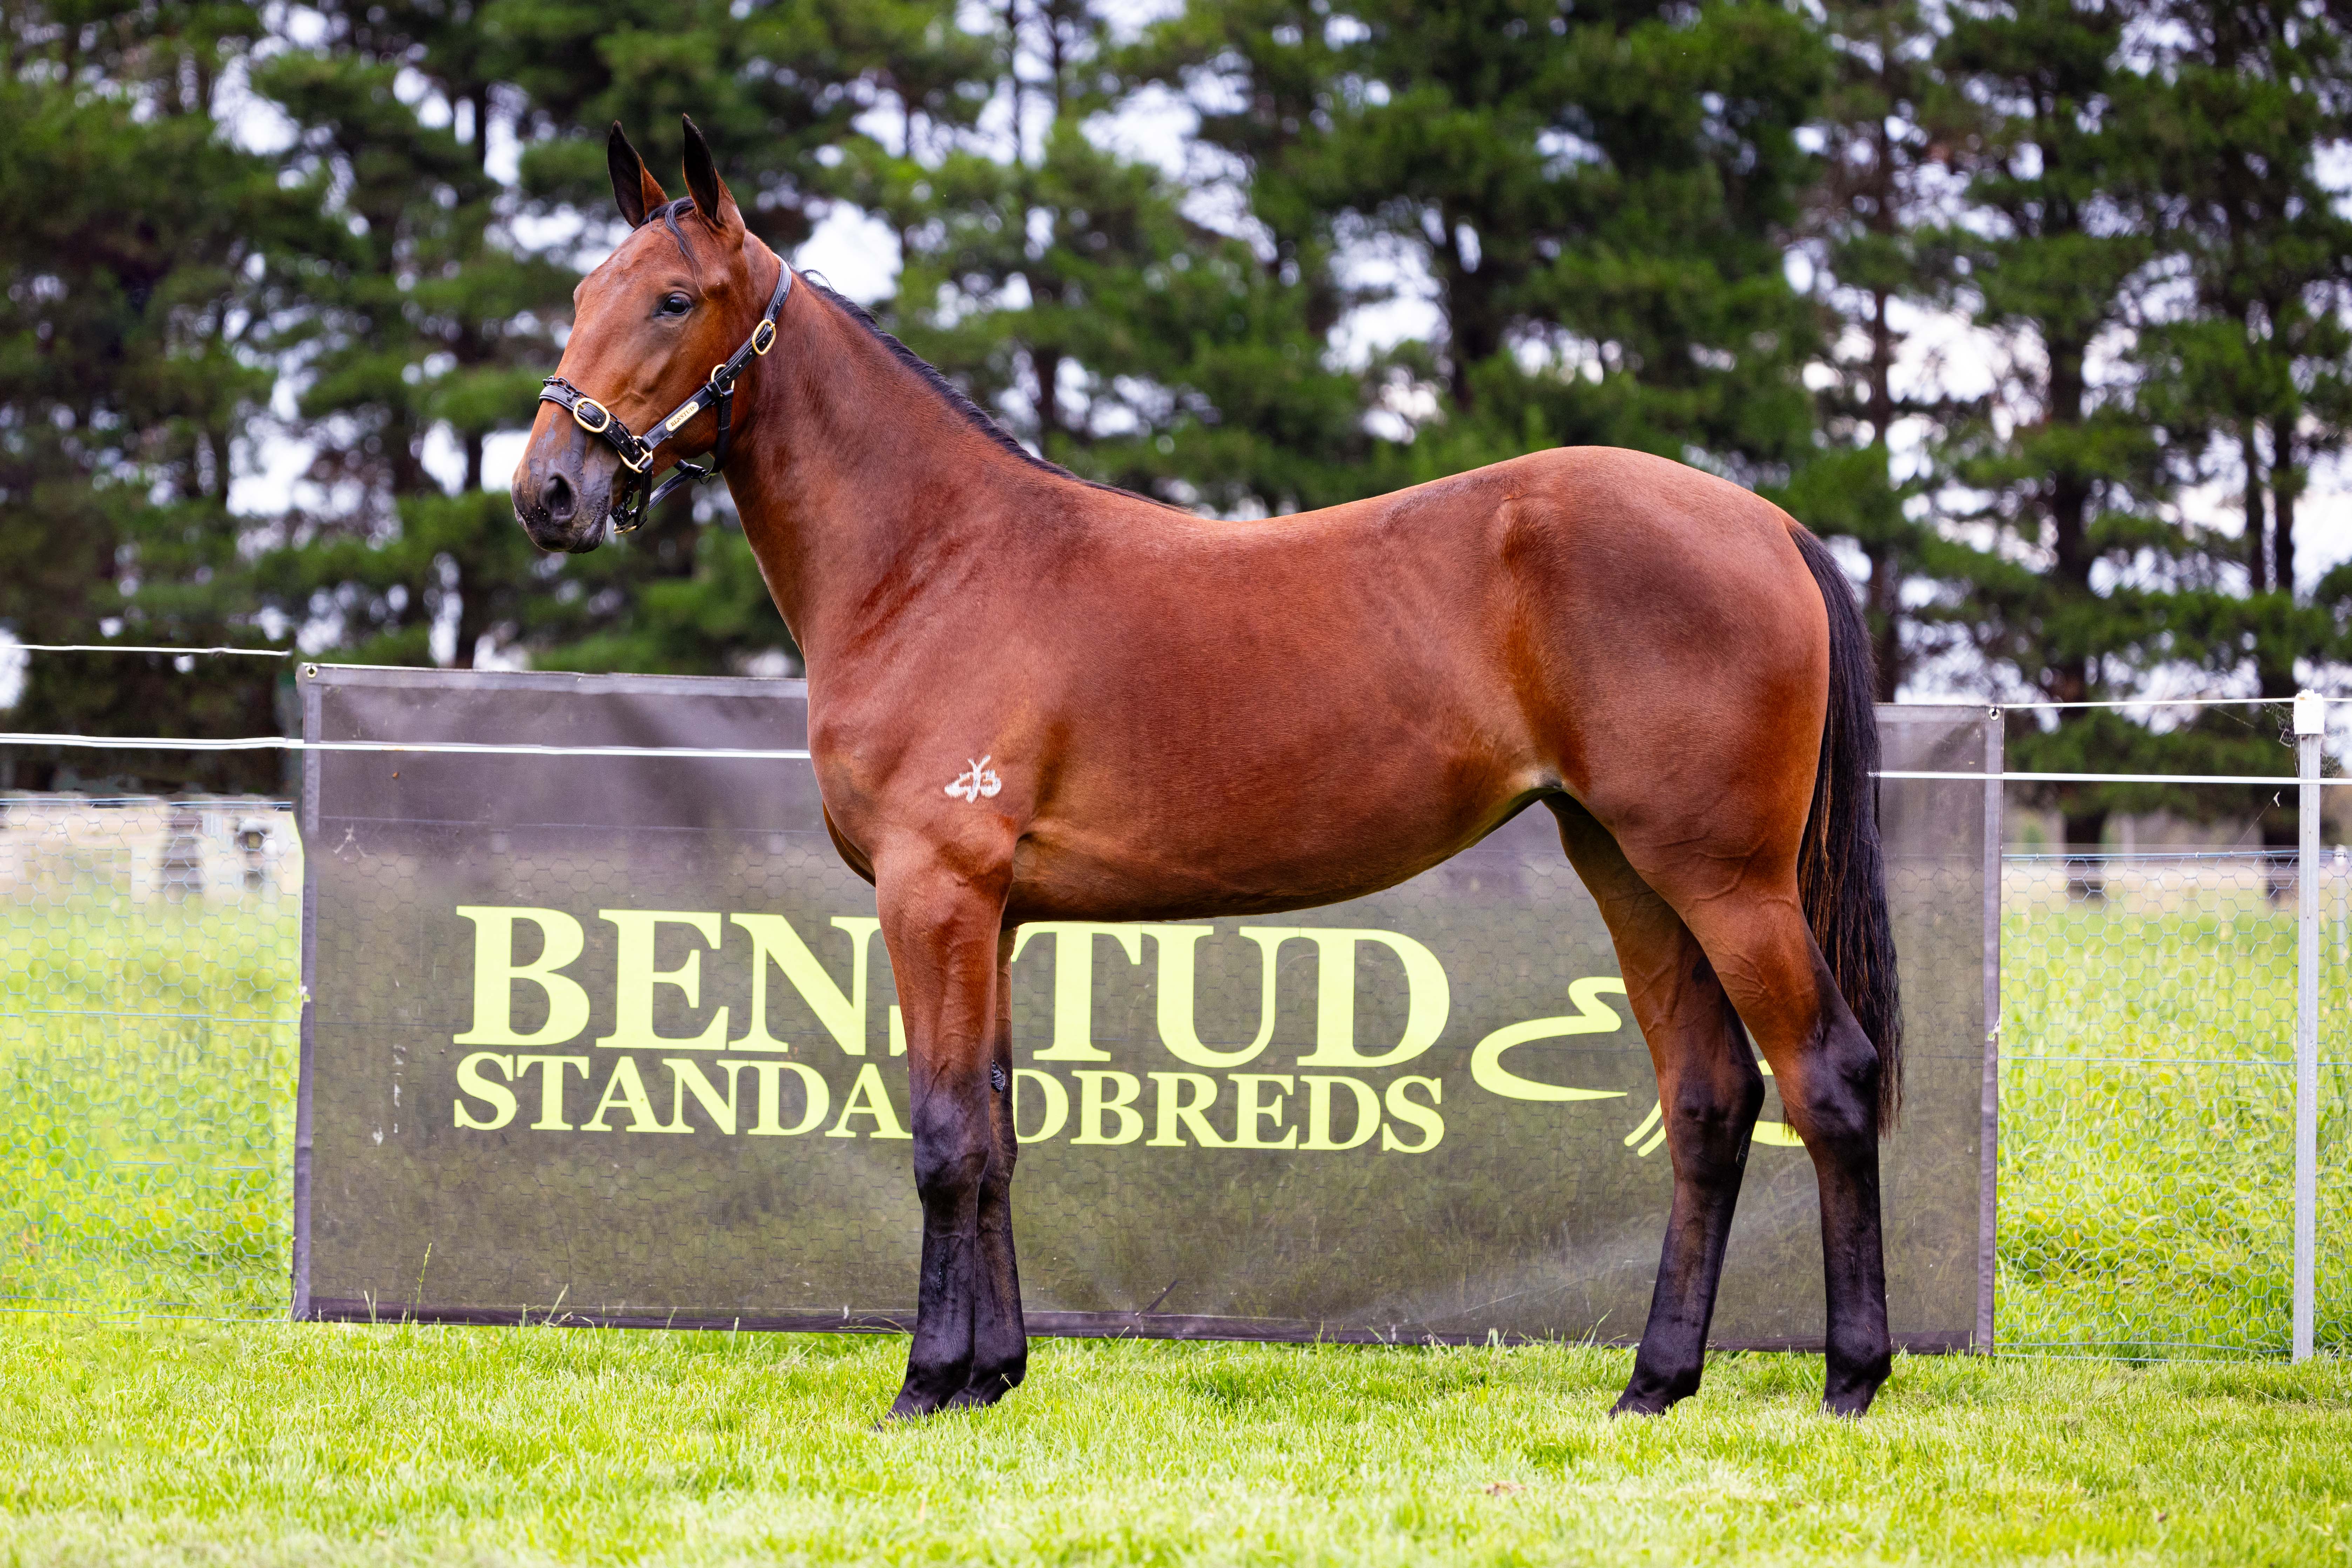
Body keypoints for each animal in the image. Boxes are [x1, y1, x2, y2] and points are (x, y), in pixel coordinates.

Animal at [512, 117, 1904, 1420]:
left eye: (674, 299)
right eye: (581, 293)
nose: (546, 492)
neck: (934, 560)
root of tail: (1763, 521)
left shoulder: (933, 892)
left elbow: (944, 1137)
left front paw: (924, 1381)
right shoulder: (994, 915)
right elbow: (1000, 1137)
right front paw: (991, 1373)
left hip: (1725, 878)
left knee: (1827, 1079)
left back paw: (1849, 1375)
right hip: (1626, 865)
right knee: (1708, 1100)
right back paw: (1653, 1382)